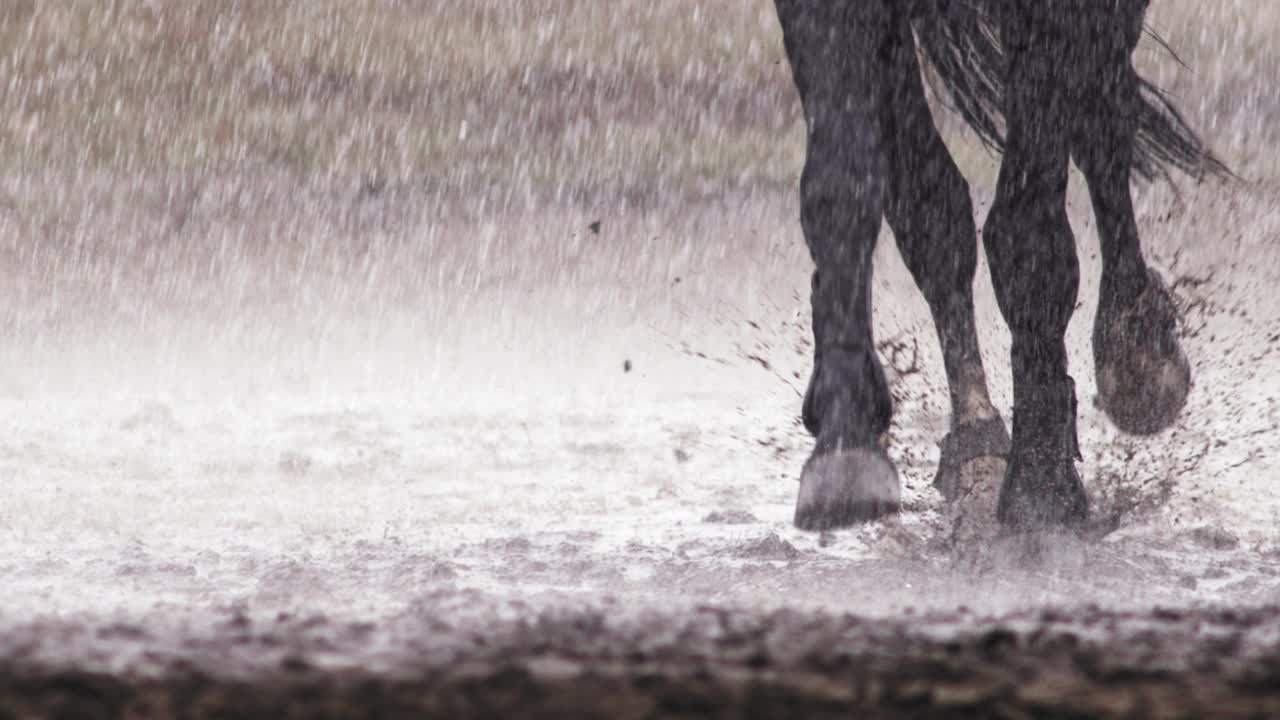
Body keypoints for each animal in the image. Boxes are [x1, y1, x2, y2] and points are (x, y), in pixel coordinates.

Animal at [773, 0, 1233, 527]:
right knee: (928, 196)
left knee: (1104, 120)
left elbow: (1027, 231)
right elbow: (845, 181)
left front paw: (1041, 482)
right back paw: (975, 438)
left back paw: (1137, 353)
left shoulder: (1061, 20)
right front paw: (846, 437)